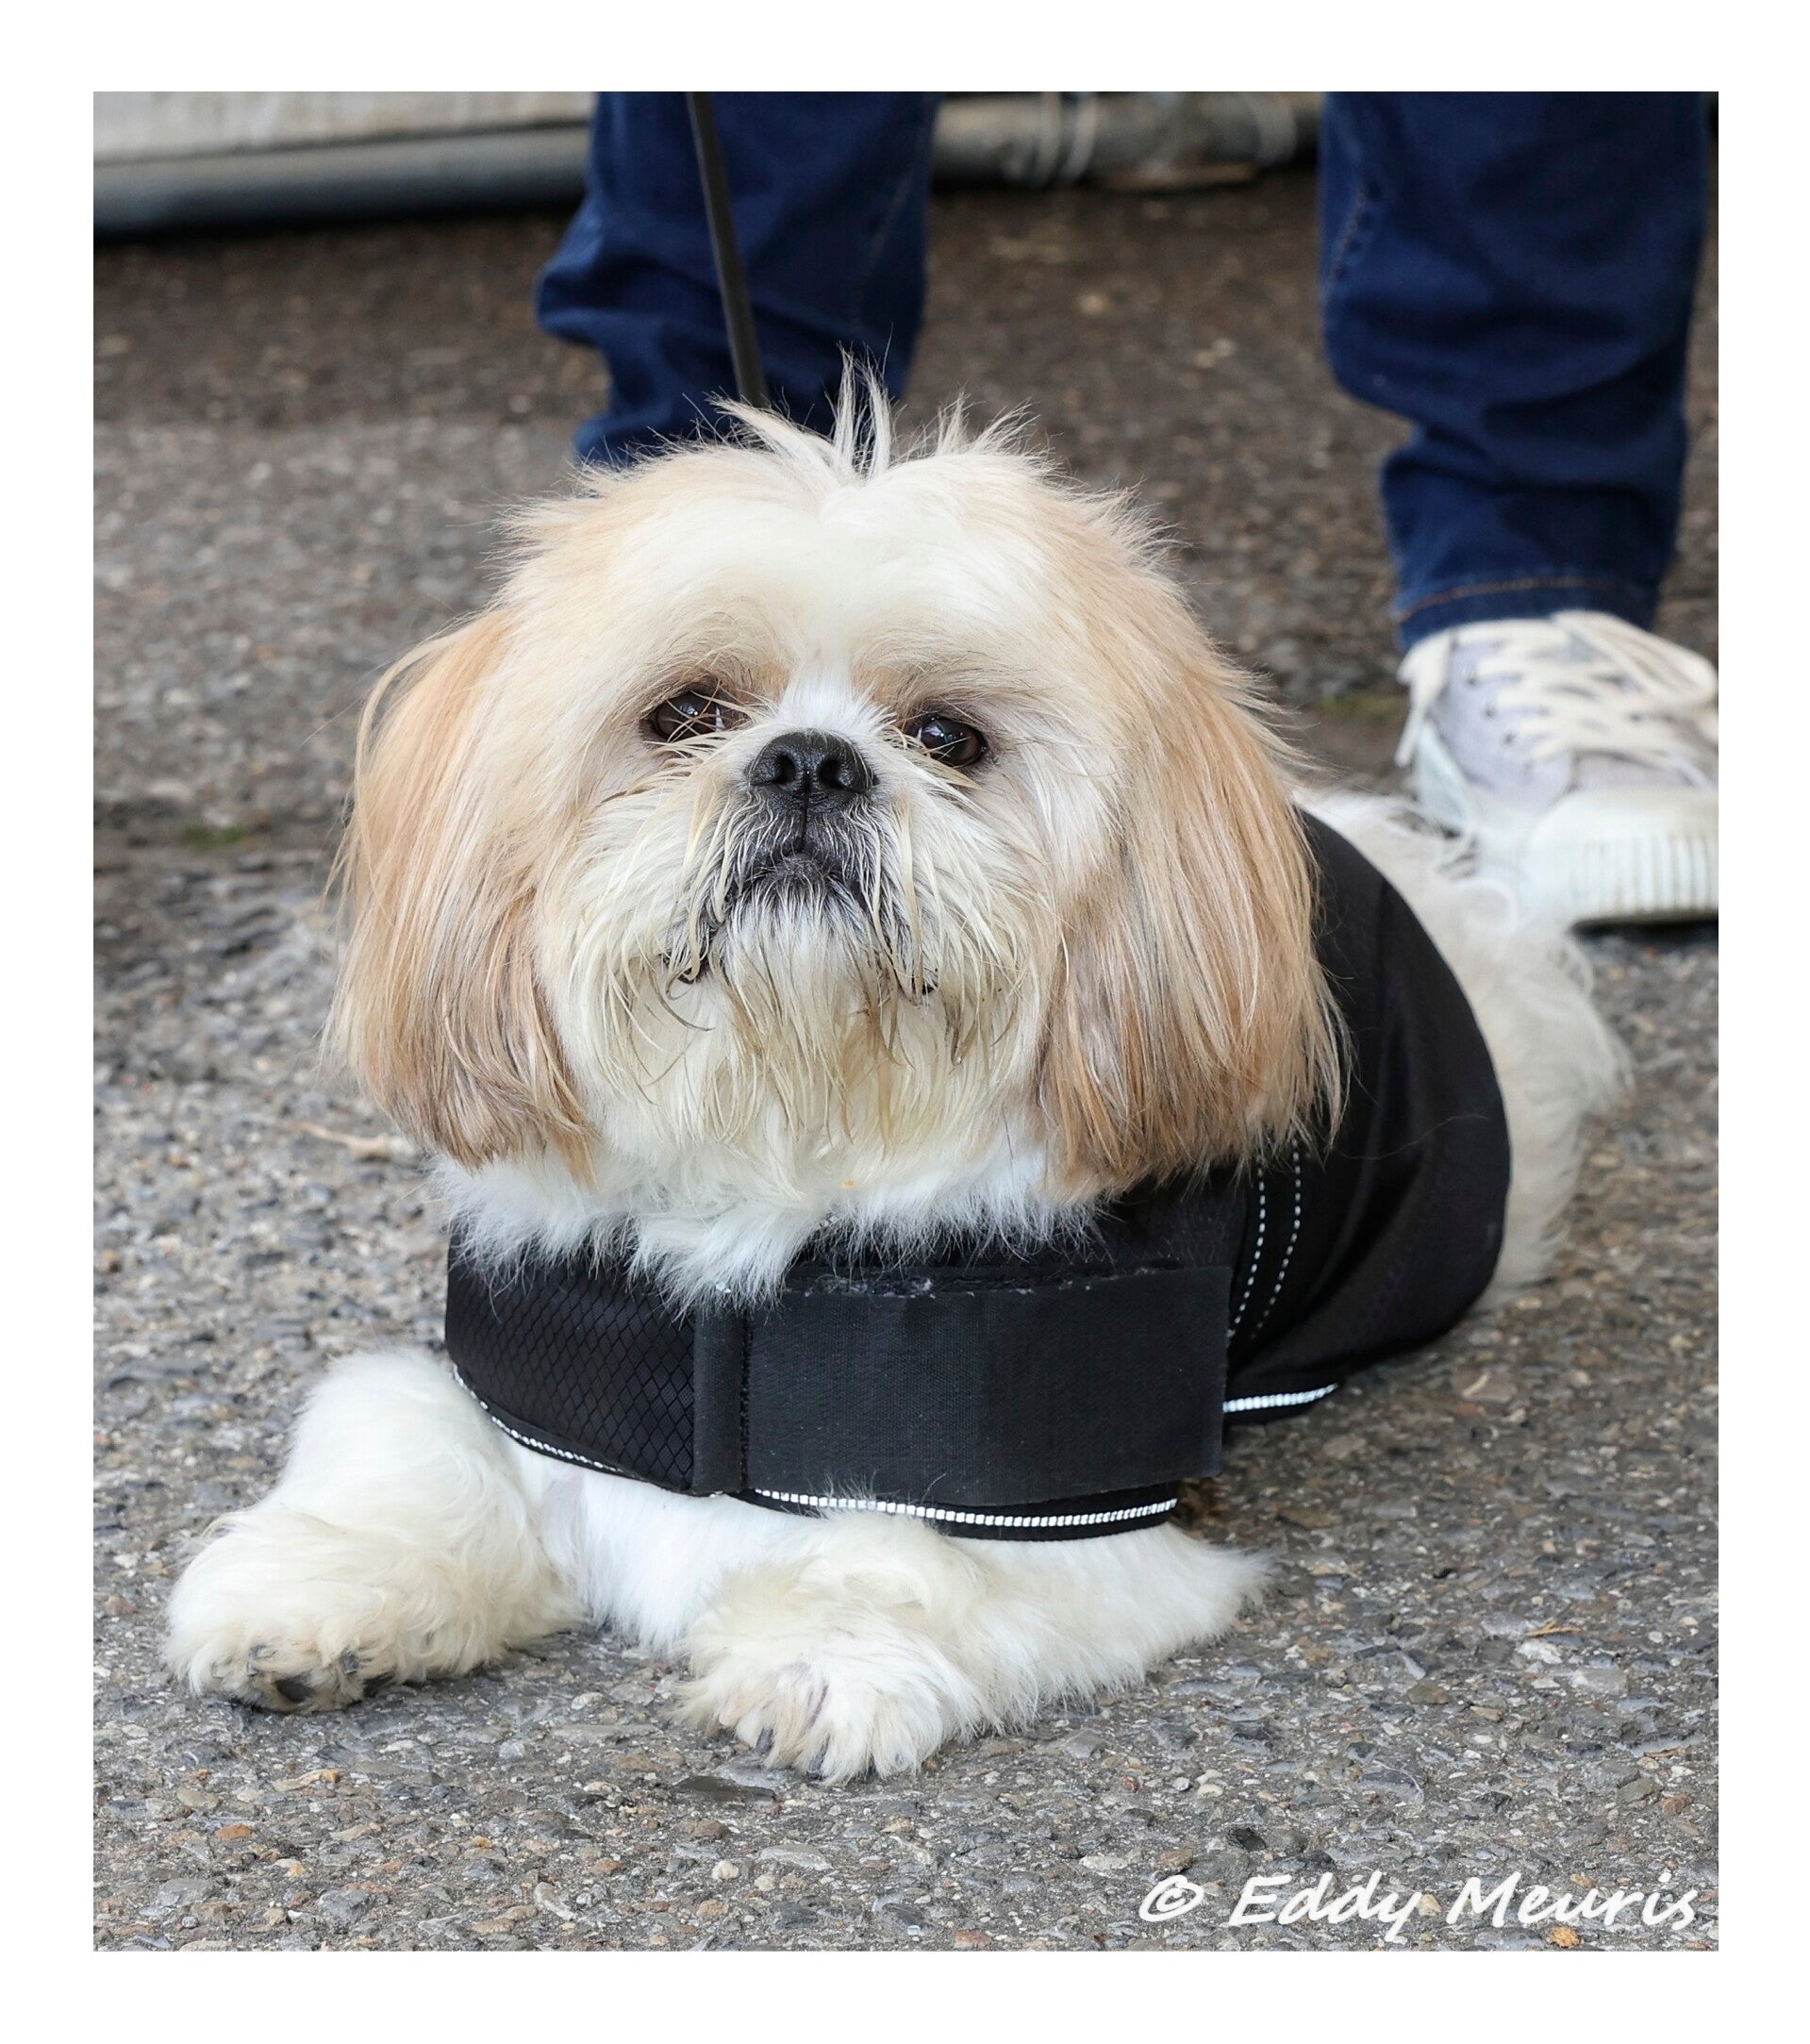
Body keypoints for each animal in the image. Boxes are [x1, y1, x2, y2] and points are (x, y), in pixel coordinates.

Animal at [165, 392, 1623, 1780]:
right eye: (685, 713)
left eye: (947, 736)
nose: (809, 757)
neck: (790, 1127)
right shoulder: (536, 1359)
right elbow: (407, 1440)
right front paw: (325, 1589)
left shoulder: (1055, 1490)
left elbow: (911, 1553)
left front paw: (820, 1658)